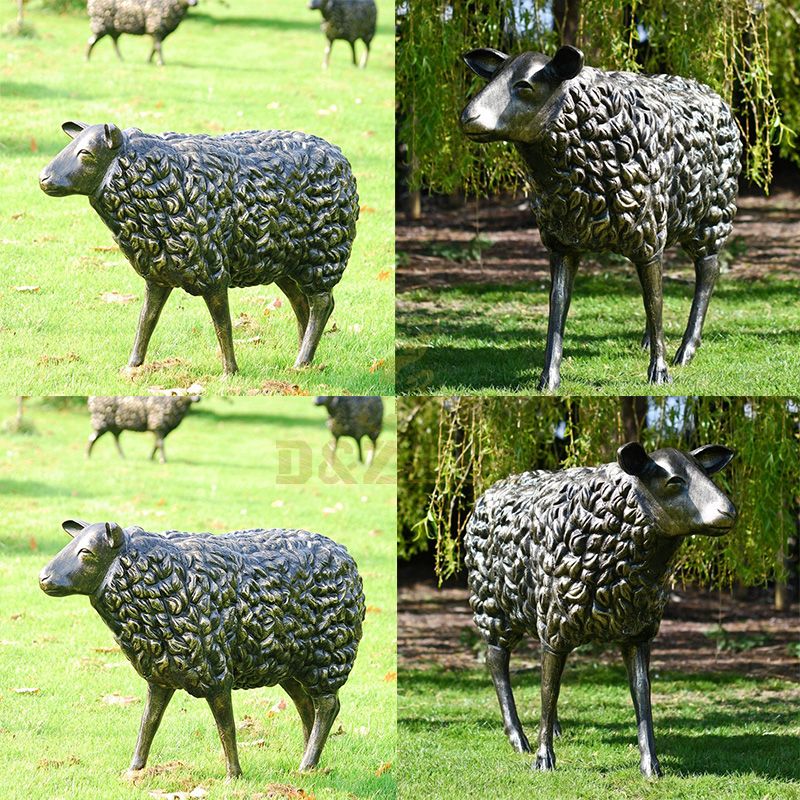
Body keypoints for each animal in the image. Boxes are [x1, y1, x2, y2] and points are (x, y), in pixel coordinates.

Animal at [38, 519, 365, 779]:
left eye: (86, 552)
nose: (43, 579)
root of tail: (344, 554)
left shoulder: (216, 671)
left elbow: (226, 727)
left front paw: (233, 776)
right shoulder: (160, 672)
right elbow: (148, 723)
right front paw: (134, 770)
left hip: (328, 654)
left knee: (327, 706)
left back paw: (306, 765)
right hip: (288, 660)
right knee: (306, 705)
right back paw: (310, 760)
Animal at [39, 121, 359, 376]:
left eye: (86, 153)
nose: (43, 179)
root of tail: (339, 155)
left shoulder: (212, 270)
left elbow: (223, 325)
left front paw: (230, 372)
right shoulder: (158, 270)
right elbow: (146, 320)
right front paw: (132, 367)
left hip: (322, 253)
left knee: (322, 304)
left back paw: (301, 361)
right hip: (284, 259)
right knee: (301, 303)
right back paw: (305, 359)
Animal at [461, 46, 741, 390]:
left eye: (525, 86)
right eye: (491, 80)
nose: (468, 118)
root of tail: (713, 94)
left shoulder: (646, 235)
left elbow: (655, 299)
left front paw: (660, 372)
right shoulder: (563, 242)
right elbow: (559, 301)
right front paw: (548, 377)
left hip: (711, 214)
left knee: (707, 272)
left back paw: (686, 349)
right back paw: (650, 341)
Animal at [464, 442, 736, 777]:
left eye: (706, 475)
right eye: (674, 480)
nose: (728, 512)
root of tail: (490, 491)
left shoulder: (636, 631)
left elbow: (640, 690)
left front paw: (651, 765)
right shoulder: (557, 625)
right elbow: (548, 688)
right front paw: (543, 759)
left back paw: (552, 729)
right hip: (494, 604)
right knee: (497, 662)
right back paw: (518, 737)